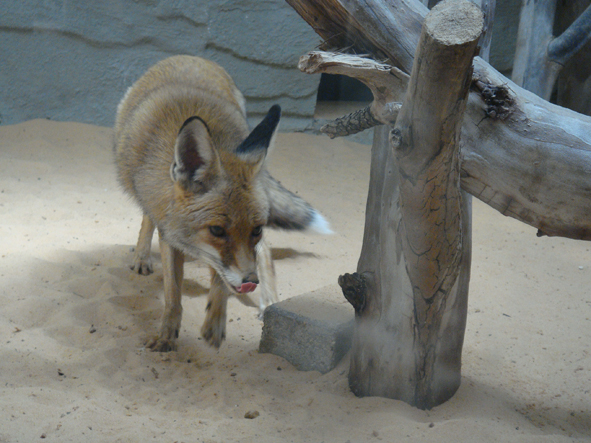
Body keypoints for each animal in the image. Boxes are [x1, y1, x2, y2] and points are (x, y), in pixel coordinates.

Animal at [113, 56, 330, 354]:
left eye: (256, 230)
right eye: (217, 231)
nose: (251, 283)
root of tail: (191, 57)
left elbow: (222, 278)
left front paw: (215, 323)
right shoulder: (169, 235)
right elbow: (172, 293)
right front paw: (167, 334)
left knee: (265, 253)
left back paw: (270, 301)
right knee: (146, 219)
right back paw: (142, 257)